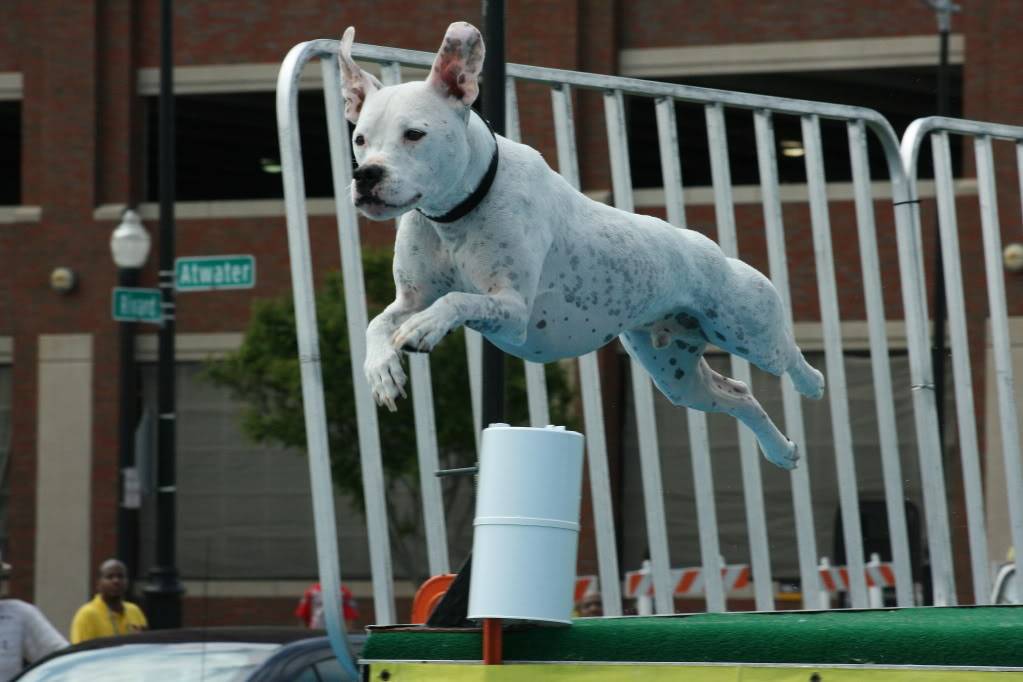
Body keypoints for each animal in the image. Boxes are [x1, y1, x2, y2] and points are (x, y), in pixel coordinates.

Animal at [341, 21, 822, 470]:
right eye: (360, 139)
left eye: (414, 134)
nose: (366, 175)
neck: (456, 213)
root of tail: (716, 251)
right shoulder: (411, 298)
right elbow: (378, 322)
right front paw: (381, 370)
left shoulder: (513, 309)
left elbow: (458, 299)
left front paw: (425, 327)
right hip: (678, 377)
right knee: (738, 394)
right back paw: (781, 452)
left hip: (747, 331)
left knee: (787, 354)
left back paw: (811, 383)